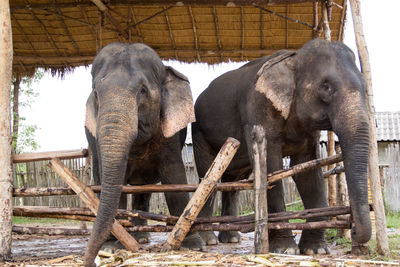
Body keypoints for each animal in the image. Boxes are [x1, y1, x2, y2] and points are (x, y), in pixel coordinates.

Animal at [83, 43, 203, 266]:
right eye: (96, 93)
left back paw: (142, 238)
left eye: (143, 91)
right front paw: (111, 248)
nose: (91, 262)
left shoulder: (169, 133)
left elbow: (174, 175)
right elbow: (112, 180)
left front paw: (193, 245)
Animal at [192, 39, 370, 255]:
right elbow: (272, 167)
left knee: (232, 181)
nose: (353, 230)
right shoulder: (258, 109)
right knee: (207, 176)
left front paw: (315, 250)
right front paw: (285, 249)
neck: (293, 59)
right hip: (198, 131)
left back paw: (231, 238)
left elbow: (307, 171)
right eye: (326, 86)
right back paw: (207, 240)